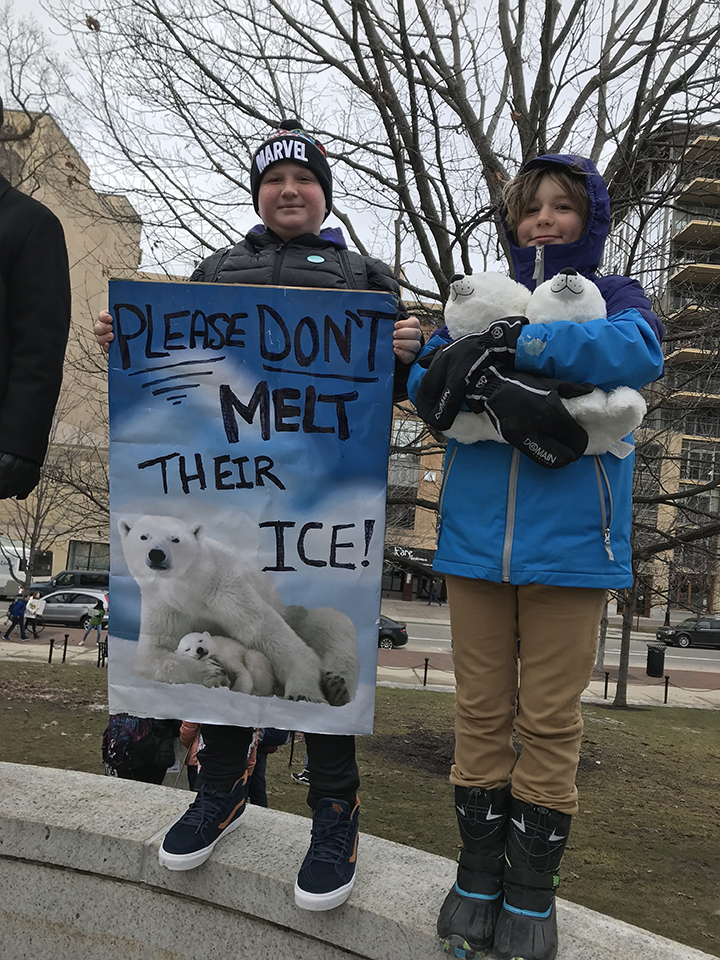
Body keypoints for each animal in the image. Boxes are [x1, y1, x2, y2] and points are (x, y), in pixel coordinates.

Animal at [117, 516, 360, 704]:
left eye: (175, 539)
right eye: (144, 536)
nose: (157, 554)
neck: (191, 590)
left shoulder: (225, 590)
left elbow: (270, 637)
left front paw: (304, 695)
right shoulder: (166, 605)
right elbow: (152, 654)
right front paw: (212, 672)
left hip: (294, 615)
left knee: (331, 620)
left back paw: (336, 686)